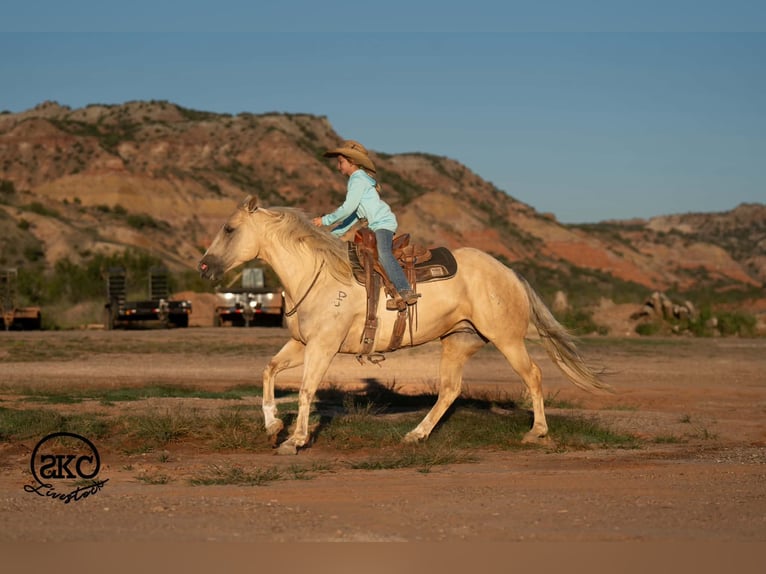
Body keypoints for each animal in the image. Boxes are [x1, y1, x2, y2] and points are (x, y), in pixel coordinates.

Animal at [198, 195, 612, 455]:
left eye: (229, 228)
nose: (203, 266)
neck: (318, 273)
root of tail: (509, 272)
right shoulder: (302, 345)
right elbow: (269, 371)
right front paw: (272, 427)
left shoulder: (322, 347)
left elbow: (305, 391)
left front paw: (294, 441)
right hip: (458, 341)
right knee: (449, 390)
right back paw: (416, 435)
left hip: (507, 339)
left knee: (534, 376)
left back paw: (536, 433)